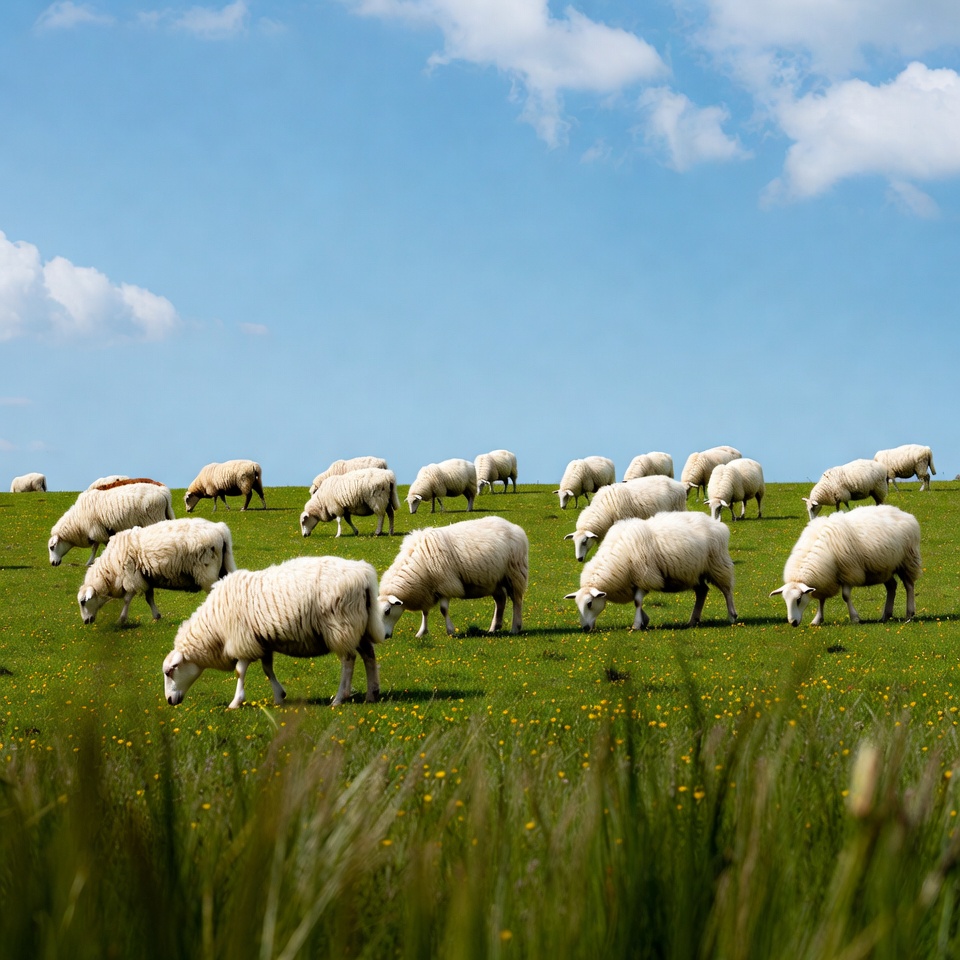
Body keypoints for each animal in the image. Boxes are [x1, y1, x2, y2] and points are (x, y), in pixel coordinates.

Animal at [77, 517, 237, 624]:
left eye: (83, 602)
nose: (86, 621)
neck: (110, 569)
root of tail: (220, 529)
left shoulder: (131, 577)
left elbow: (127, 599)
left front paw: (121, 620)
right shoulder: (146, 577)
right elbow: (149, 598)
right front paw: (156, 616)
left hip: (207, 571)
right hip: (225, 566)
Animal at [162, 555, 384, 708]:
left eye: (169, 671)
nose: (169, 700)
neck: (214, 627)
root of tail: (363, 573)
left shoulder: (242, 641)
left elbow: (239, 671)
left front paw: (236, 702)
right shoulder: (262, 641)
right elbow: (267, 669)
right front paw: (279, 697)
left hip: (341, 627)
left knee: (348, 660)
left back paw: (339, 698)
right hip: (358, 626)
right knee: (368, 655)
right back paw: (371, 694)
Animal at [379, 516, 529, 638]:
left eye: (387, 611)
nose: (384, 636)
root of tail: (514, 527)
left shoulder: (445, 584)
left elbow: (443, 610)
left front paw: (450, 631)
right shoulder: (426, 590)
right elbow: (425, 612)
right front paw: (422, 632)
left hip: (514, 573)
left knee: (516, 600)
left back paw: (515, 628)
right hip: (494, 579)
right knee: (500, 600)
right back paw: (493, 628)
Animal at [564, 512, 737, 631]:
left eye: (589, 603)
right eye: (577, 604)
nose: (585, 628)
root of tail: (716, 523)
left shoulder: (644, 575)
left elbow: (637, 601)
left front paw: (636, 624)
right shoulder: (634, 580)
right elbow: (637, 601)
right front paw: (644, 620)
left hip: (717, 564)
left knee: (727, 590)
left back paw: (732, 616)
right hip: (693, 572)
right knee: (702, 591)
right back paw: (693, 620)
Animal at [770, 505, 921, 626]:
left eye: (799, 599)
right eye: (785, 600)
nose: (793, 623)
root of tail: (904, 513)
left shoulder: (848, 571)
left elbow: (846, 596)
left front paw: (855, 618)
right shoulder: (824, 578)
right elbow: (821, 599)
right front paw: (817, 619)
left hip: (907, 561)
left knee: (909, 586)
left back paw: (909, 614)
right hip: (884, 568)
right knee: (892, 587)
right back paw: (885, 615)